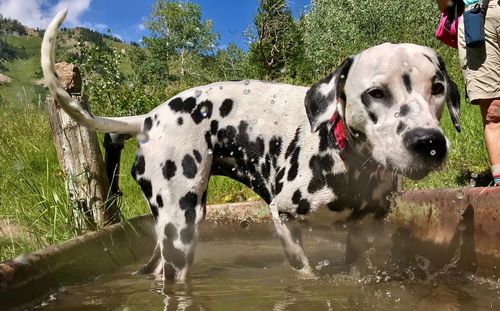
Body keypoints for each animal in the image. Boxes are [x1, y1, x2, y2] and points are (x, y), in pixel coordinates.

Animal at [41, 9, 458, 282]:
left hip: (173, 229)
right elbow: (305, 272)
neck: (347, 160)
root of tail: (148, 118)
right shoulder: (283, 218)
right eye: (376, 92)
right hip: (181, 229)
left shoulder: (364, 235)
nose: (429, 143)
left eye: (437, 88)